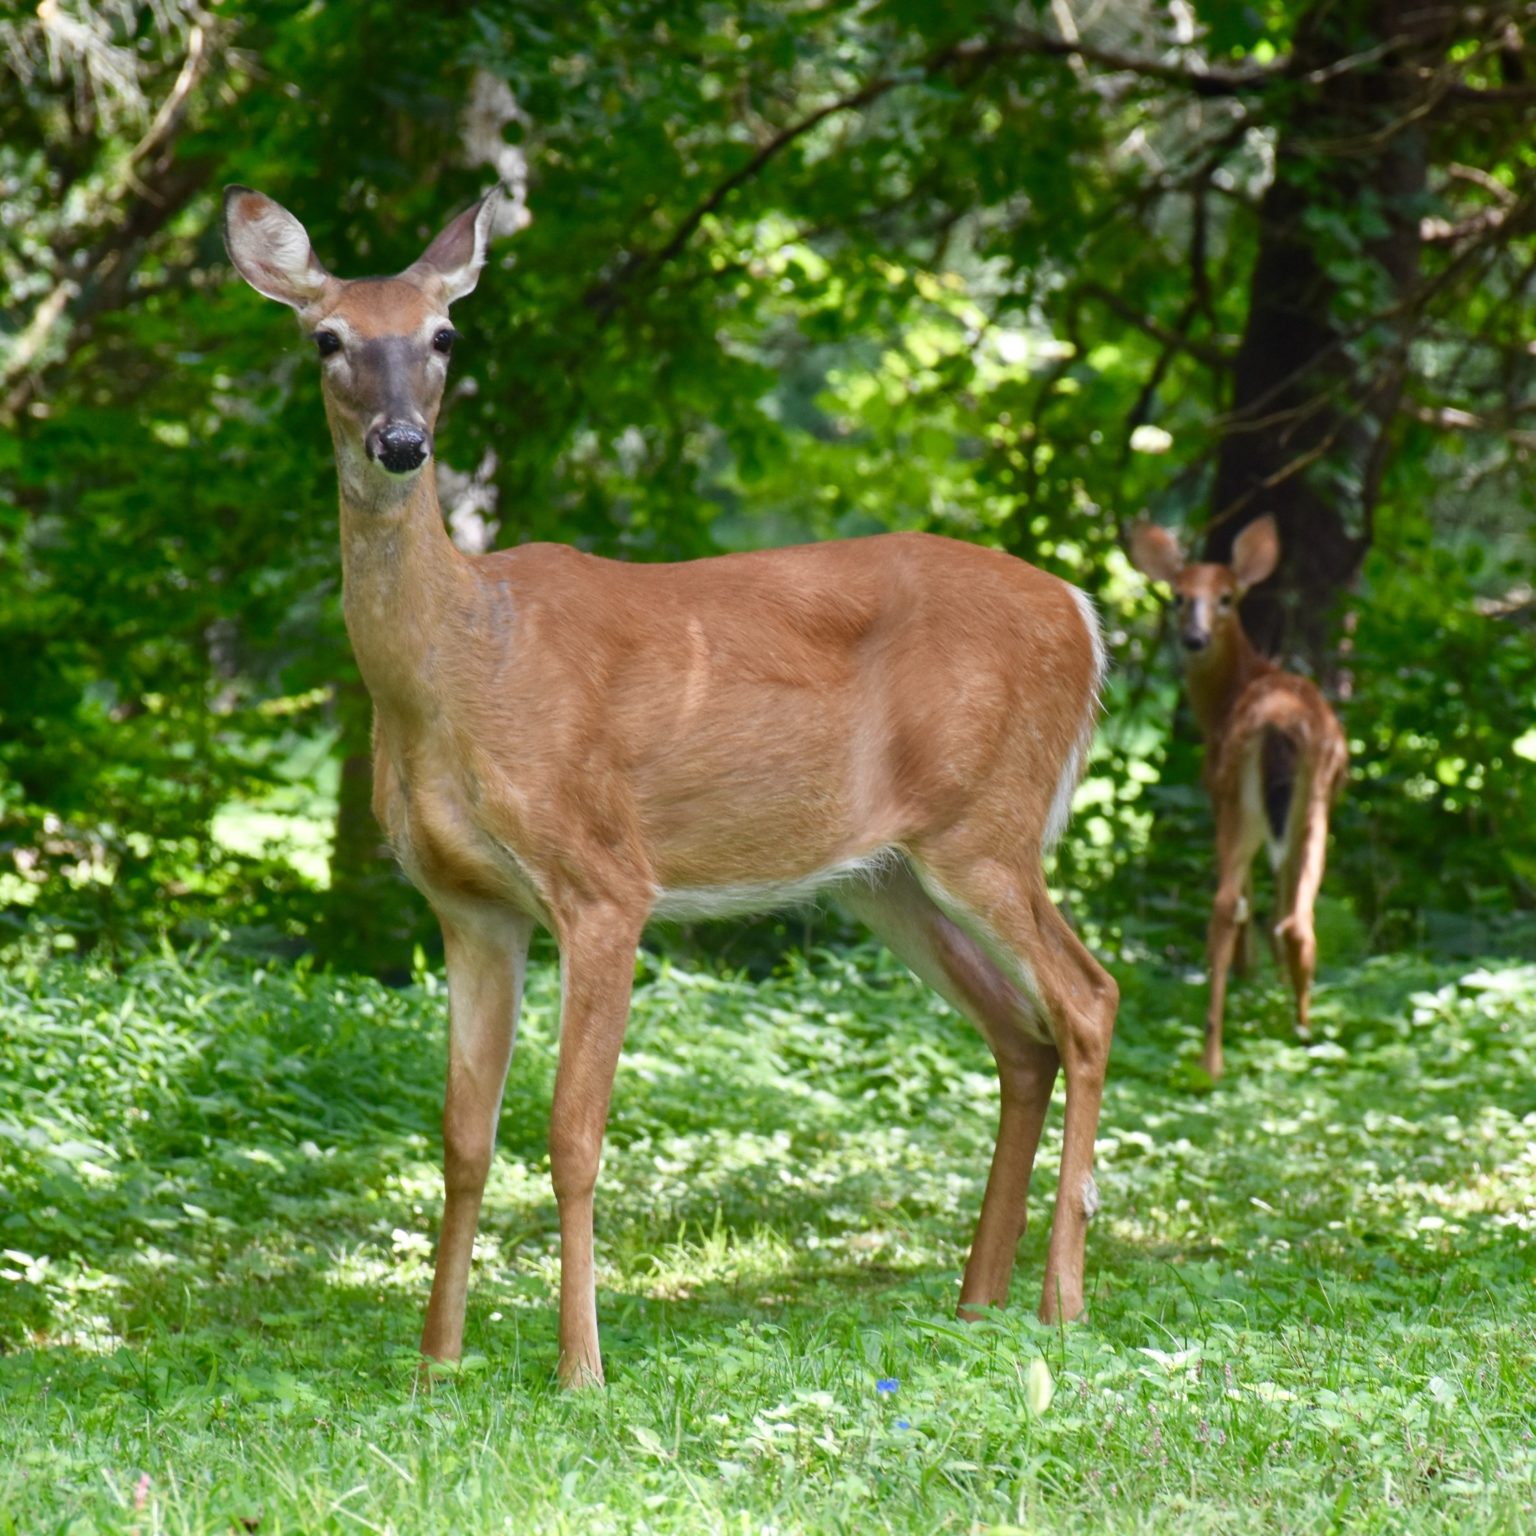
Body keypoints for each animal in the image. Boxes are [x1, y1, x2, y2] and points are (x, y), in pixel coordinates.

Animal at [222, 183, 1119, 1387]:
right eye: (328, 340)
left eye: (445, 335)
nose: (403, 443)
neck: (459, 665)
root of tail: (1084, 613)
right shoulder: (469, 906)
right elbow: (462, 1139)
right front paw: (435, 1364)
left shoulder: (604, 878)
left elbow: (571, 1134)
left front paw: (580, 1369)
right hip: (884, 875)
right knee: (1021, 1037)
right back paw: (978, 1306)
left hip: (989, 824)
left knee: (1087, 998)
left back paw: (1062, 1306)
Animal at [1128, 516, 1348, 1081]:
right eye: (1178, 595)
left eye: (1226, 597)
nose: (1194, 638)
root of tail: (1280, 722)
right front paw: (1262, 975)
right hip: (1291, 805)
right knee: (1275, 911)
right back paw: (1275, 1036)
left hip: (1268, 804)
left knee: (1260, 910)